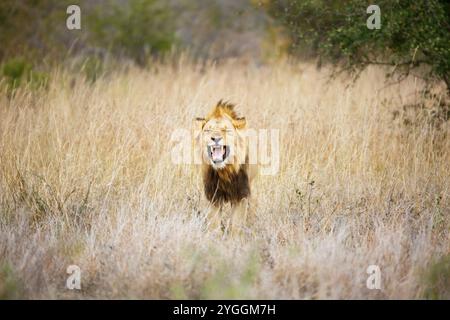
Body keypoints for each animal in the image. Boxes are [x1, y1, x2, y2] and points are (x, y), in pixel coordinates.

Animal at [194, 100, 256, 235]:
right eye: (208, 130)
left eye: (226, 130)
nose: (216, 138)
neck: (224, 171)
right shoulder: (212, 195)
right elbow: (214, 224)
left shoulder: (241, 195)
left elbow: (236, 225)